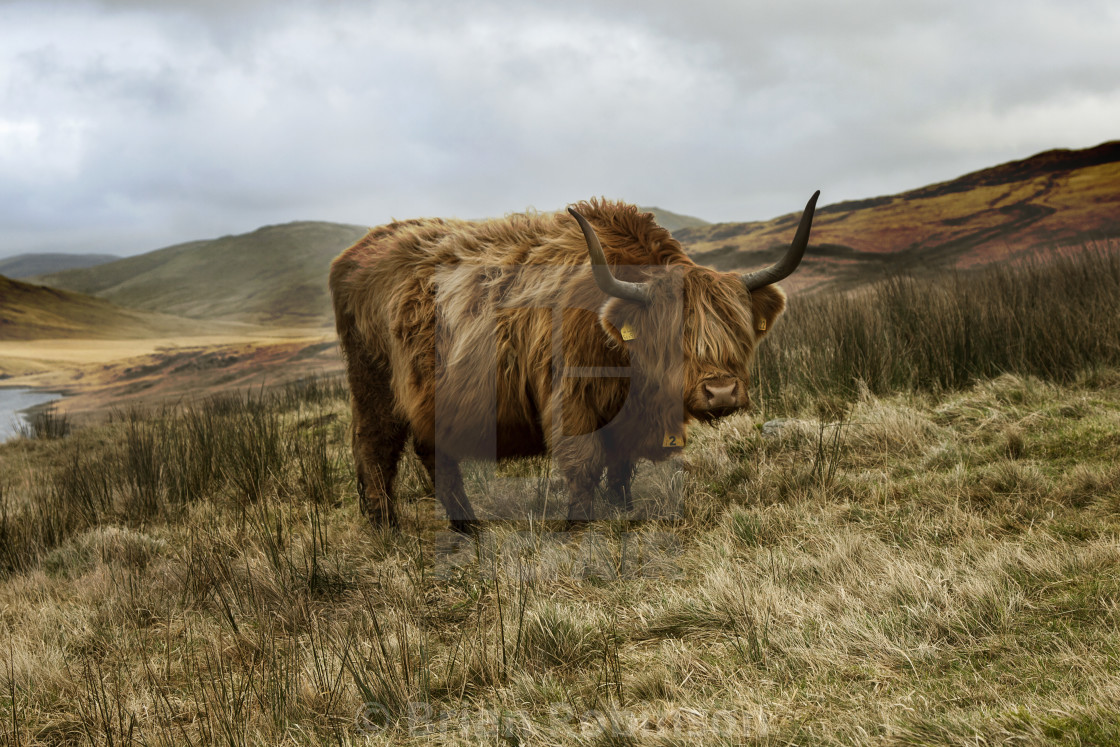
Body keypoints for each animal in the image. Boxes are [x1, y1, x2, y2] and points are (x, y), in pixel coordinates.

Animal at [327, 192, 819, 530]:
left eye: (737, 329)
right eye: (671, 335)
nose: (721, 392)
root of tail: (355, 252)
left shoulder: (625, 417)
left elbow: (620, 466)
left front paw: (624, 510)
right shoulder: (571, 399)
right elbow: (584, 464)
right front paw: (577, 524)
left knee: (434, 453)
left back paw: (466, 524)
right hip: (373, 386)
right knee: (374, 445)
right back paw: (386, 524)